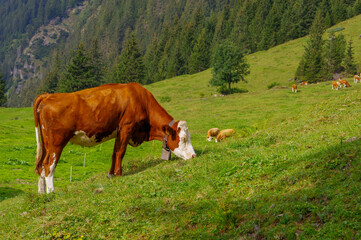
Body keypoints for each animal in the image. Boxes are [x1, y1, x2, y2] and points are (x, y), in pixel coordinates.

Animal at [33, 82, 197, 193]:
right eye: (183, 138)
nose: (194, 156)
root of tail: (48, 95)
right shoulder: (126, 127)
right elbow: (120, 152)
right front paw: (118, 174)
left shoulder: (119, 131)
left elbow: (114, 153)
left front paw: (111, 174)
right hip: (56, 142)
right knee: (49, 165)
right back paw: (52, 192)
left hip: (45, 143)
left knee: (40, 165)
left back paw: (42, 194)